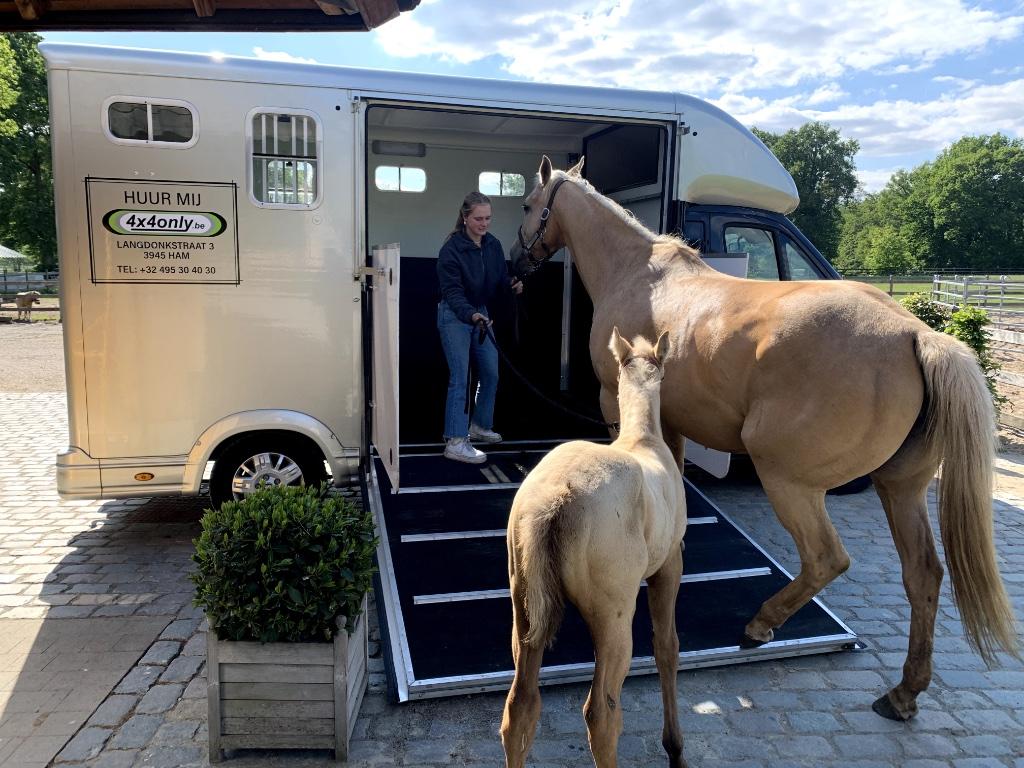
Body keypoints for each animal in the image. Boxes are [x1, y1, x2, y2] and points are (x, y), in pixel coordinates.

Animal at [501, 329, 687, 768]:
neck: (644, 440)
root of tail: (555, 499)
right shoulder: (670, 565)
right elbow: (667, 648)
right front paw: (675, 749)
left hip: (524, 613)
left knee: (520, 707)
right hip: (613, 619)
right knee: (601, 714)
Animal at [509, 155, 1019, 723]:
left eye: (528, 205)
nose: (514, 265)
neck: (638, 273)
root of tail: (918, 334)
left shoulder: (614, 406)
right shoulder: (673, 426)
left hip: (788, 480)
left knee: (826, 558)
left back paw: (760, 625)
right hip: (900, 488)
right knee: (923, 574)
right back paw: (903, 692)